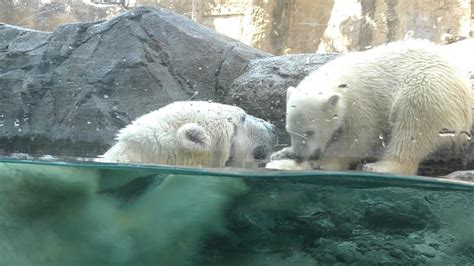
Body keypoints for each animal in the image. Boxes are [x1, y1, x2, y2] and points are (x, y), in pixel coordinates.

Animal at [268, 39, 472, 176]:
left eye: (310, 132)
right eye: (289, 130)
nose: (299, 156)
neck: (340, 80)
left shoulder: (361, 101)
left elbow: (358, 137)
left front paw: (325, 162)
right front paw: (281, 153)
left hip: (426, 92)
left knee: (412, 130)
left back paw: (381, 166)